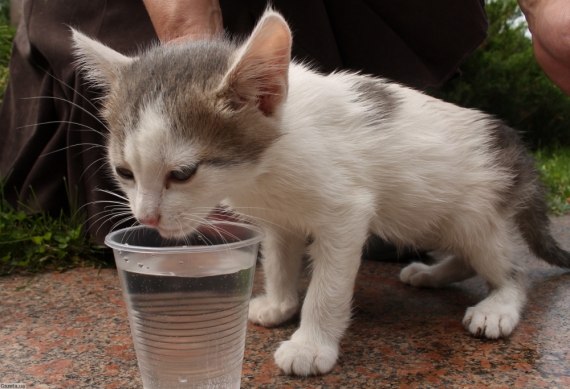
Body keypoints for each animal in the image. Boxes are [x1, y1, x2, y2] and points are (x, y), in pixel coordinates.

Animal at [72, 9, 568, 376]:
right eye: (124, 172)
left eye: (183, 173)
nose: (147, 218)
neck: (264, 171)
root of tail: (517, 151)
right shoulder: (277, 220)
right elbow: (279, 259)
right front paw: (278, 303)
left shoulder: (347, 212)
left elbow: (328, 287)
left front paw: (311, 346)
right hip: (432, 214)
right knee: (465, 254)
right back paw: (430, 274)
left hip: (476, 210)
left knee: (510, 267)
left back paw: (497, 306)